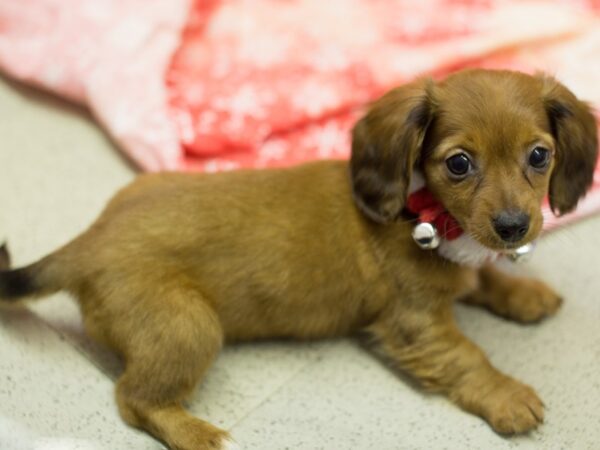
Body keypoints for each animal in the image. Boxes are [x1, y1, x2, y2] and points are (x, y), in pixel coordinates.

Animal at [0, 68, 596, 448]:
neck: (420, 214)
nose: (515, 227)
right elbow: (467, 357)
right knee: (131, 399)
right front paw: (506, 395)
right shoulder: (415, 323)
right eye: (458, 164)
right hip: (189, 327)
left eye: (538, 155)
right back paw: (197, 435)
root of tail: (89, 242)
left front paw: (522, 292)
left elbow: (482, 276)